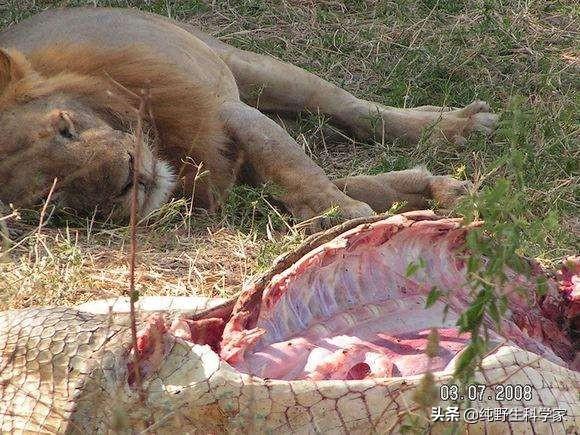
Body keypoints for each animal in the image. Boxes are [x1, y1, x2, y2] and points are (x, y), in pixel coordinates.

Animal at [1, 8, 498, 230]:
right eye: (52, 199)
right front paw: (429, 191)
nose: (131, 178)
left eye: (67, 127)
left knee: (354, 109)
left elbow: (293, 162)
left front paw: (344, 212)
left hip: (241, 62)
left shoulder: (224, 110)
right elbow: (335, 184)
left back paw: (456, 125)